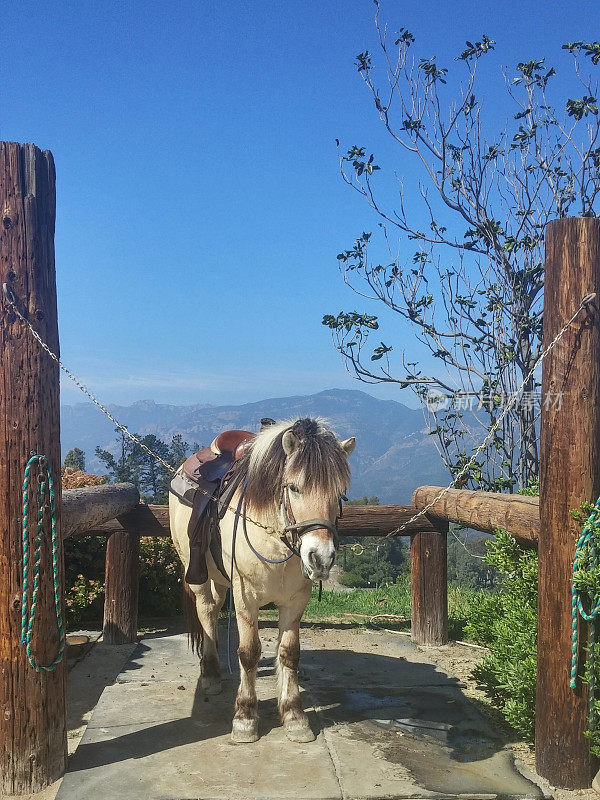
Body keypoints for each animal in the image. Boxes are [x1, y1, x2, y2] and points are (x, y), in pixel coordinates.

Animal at [169, 418, 354, 744]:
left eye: (340, 493)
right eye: (293, 487)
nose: (320, 558)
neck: (273, 537)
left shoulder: (296, 601)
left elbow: (289, 653)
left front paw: (294, 716)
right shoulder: (246, 600)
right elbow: (249, 652)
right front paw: (245, 717)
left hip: (221, 579)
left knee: (214, 609)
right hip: (197, 574)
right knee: (206, 610)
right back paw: (211, 674)